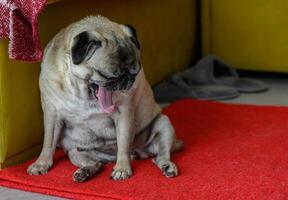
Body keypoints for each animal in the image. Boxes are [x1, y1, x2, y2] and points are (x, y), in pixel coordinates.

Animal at [28, 15, 183, 181]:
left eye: (135, 73)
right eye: (107, 75)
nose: (126, 79)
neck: (83, 95)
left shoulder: (124, 115)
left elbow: (123, 144)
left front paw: (122, 168)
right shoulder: (52, 114)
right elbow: (48, 143)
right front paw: (41, 164)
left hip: (164, 124)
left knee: (161, 155)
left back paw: (166, 166)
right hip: (74, 151)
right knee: (95, 163)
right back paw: (85, 172)